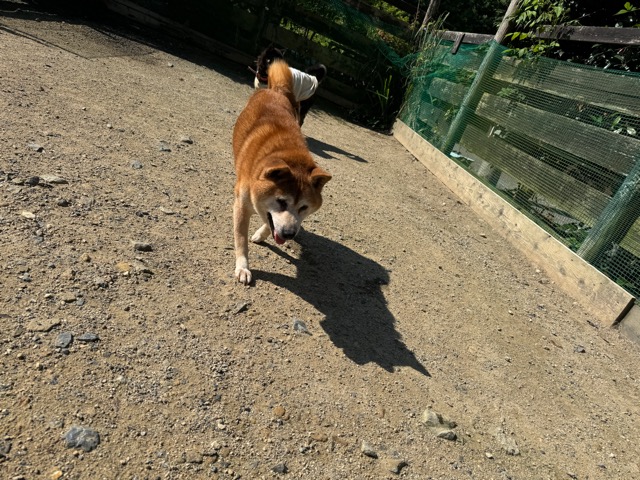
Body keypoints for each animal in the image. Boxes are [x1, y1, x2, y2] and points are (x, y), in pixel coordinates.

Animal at [233, 59, 332, 285]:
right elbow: (241, 241)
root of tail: (276, 91)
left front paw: (261, 235)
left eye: (304, 207)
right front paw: (243, 267)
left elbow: (269, 222)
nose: (288, 234)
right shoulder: (241, 206)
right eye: (281, 201)